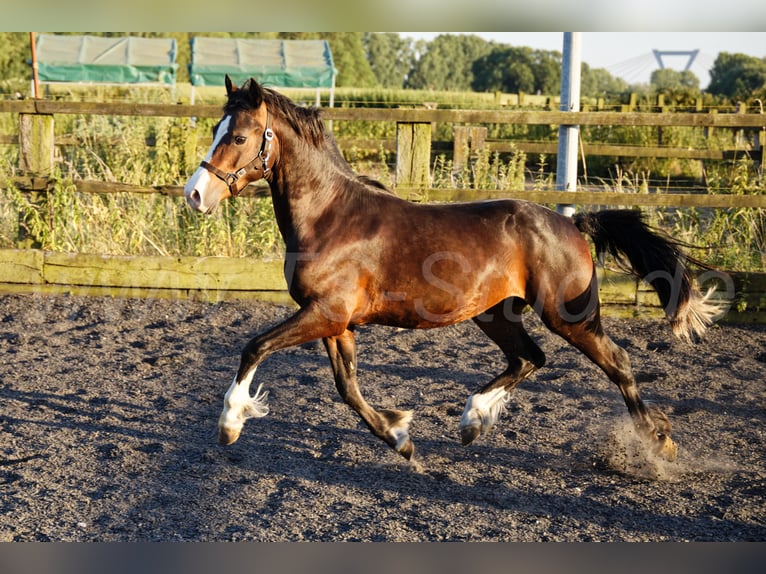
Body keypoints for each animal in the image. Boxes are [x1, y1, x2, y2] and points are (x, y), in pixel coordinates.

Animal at [184, 75, 720, 469]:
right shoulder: (337, 323)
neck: (331, 216)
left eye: (238, 136)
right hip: (496, 314)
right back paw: (472, 420)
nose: (195, 194)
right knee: (529, 358)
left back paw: (658, 444)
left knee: (617, 362)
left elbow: (255, 347)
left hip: (567, 315)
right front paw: (400, 437)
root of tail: (571, 224)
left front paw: (230, 424)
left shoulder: (325, 313)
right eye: (216, 131)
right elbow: (348, 389)